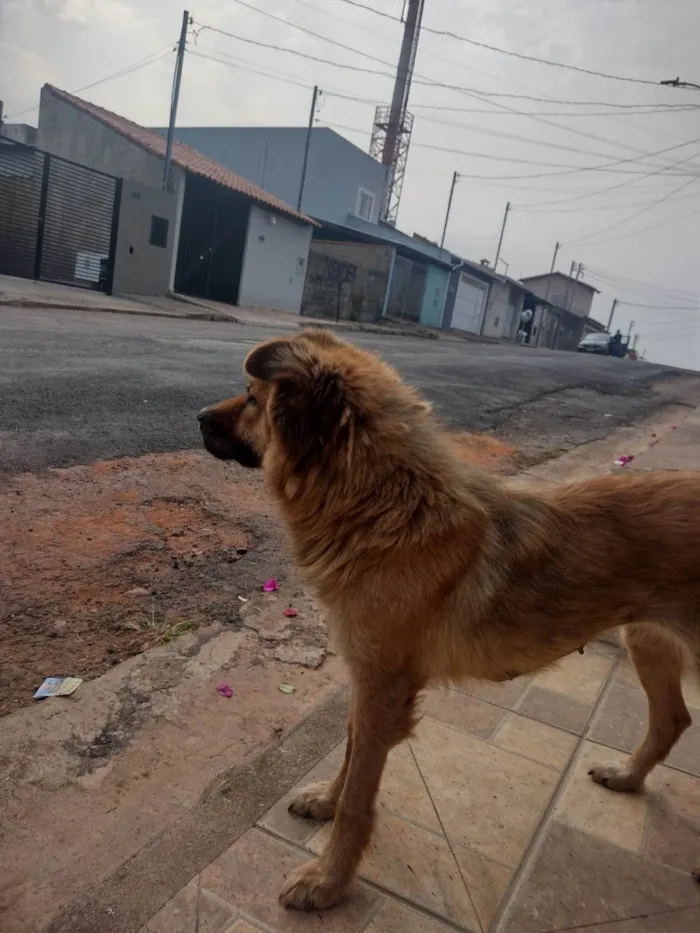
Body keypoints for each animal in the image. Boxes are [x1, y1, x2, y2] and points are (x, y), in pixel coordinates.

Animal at [197, 330, 700, 912]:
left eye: (251, 397)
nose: (198, 417)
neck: (385, 503)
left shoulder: (384, 690)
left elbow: (359, 797)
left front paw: (330, 879)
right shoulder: (368, 682)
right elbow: (349, 751)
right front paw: (326, 801)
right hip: (649, 640)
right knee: (672, 720)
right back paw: (627, 776)